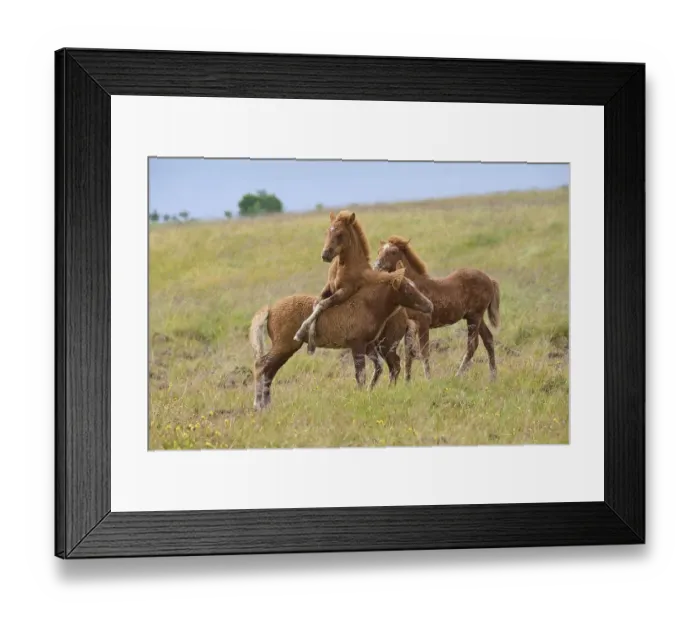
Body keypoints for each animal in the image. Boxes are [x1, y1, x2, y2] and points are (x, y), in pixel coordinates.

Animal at [249, 264, 433, 411]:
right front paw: (361, 396)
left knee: (270, 371)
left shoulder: (368, 345)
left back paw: (267, 404)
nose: (429, 305)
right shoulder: (357, 345)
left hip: (286, 349)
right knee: (261, 365)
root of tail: (271, 309)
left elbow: (375, 368)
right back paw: (258, 405)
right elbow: (361, 374)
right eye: (407, 289)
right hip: (284, 346)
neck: (366, 305)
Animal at [374, 236, 501, 380]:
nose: (376, 266)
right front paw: (407, 381)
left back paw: (458, 375)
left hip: (474, 317)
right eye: (379, 251)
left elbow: (424, 352)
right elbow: (408, 353)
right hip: (475, 317)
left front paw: (428, 379)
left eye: (393, 252)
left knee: (472, 345)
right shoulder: (410, 325)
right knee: (488, 339)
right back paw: (493, 377)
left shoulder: (423, 322)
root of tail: (490, 280)